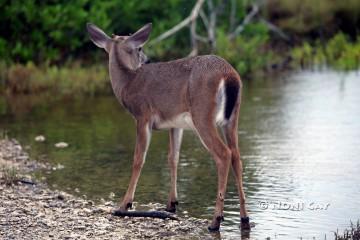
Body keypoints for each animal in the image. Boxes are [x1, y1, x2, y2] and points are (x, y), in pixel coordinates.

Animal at [87, 22, 250, 231]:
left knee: (223, 154)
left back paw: (215, 221)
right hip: (232, 118)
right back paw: (244, 219)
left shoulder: (143, 115)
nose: (147, 60)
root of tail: (229, 75)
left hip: (202, 115)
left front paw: (125, 204)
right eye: (139, 49)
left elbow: (138, 159)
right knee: (236, 156)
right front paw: (171, 203)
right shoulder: (175, 124)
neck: (127, 84)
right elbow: (173, 158)